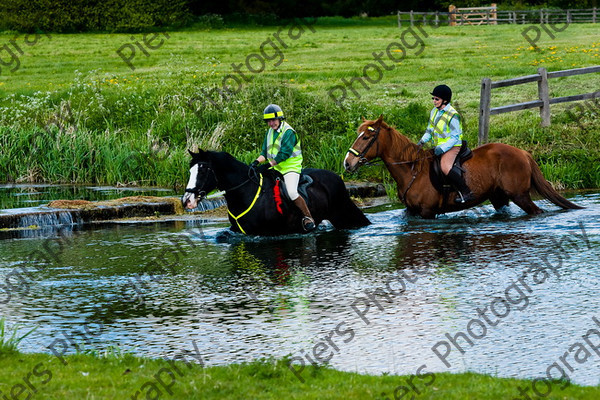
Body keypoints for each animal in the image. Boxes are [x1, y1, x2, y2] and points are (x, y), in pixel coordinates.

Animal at [182, 151, 370, 238]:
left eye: (203, 170)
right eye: (190, 170)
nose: (186, 201)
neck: (245, 192)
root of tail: (337, 177)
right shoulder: (238, 231)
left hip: (344, 213)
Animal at [344, 116, 584, 219]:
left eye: (366, 137)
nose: (348, 163)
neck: (411, 171)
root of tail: (522, 152)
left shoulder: (427, 212)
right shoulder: (411, 212)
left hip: (520, 195)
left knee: (536, 211)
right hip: (499, 196)